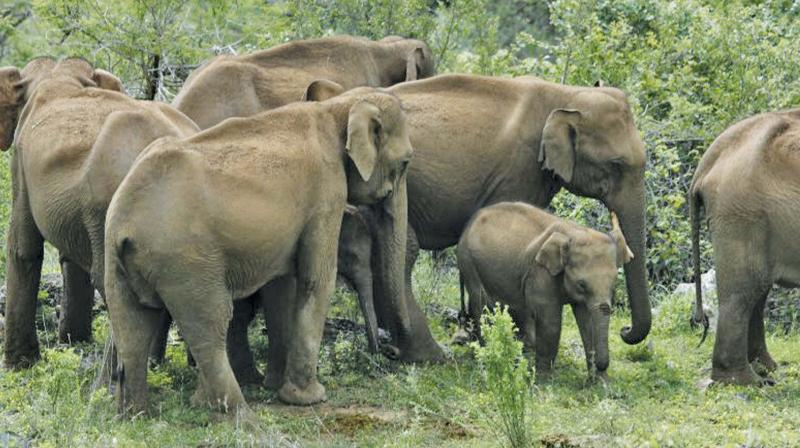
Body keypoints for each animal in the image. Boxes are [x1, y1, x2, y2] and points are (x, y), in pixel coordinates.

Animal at [103, 87, 412, 414]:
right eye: (406, 162)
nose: (390, 350)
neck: (334, 108)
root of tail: (124, 219)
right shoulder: (327, 193)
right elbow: (316, 280)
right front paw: (309, 398)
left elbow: (284, 285)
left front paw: (277, 388)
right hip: (184, 258)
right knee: (210, 321)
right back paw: (238, 415)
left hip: (120, 261)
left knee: (132, 326)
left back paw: (137, 414)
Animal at [314, 73, 651, 360]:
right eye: (617, 164)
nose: (625, 331)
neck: (565, 93)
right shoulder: (518, 169)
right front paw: (517, 344)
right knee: (401, 250)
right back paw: (430, 356)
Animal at [457, 203, 633, 379]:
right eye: (582, 284)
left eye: (614, 283)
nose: (624, 329)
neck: (573, 233)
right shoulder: (540, 271)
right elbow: (550, 320)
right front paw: (544, 380)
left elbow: (587, 320)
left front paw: (600, 382)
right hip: (468, 261)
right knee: (481, 305)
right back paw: (486, 356)